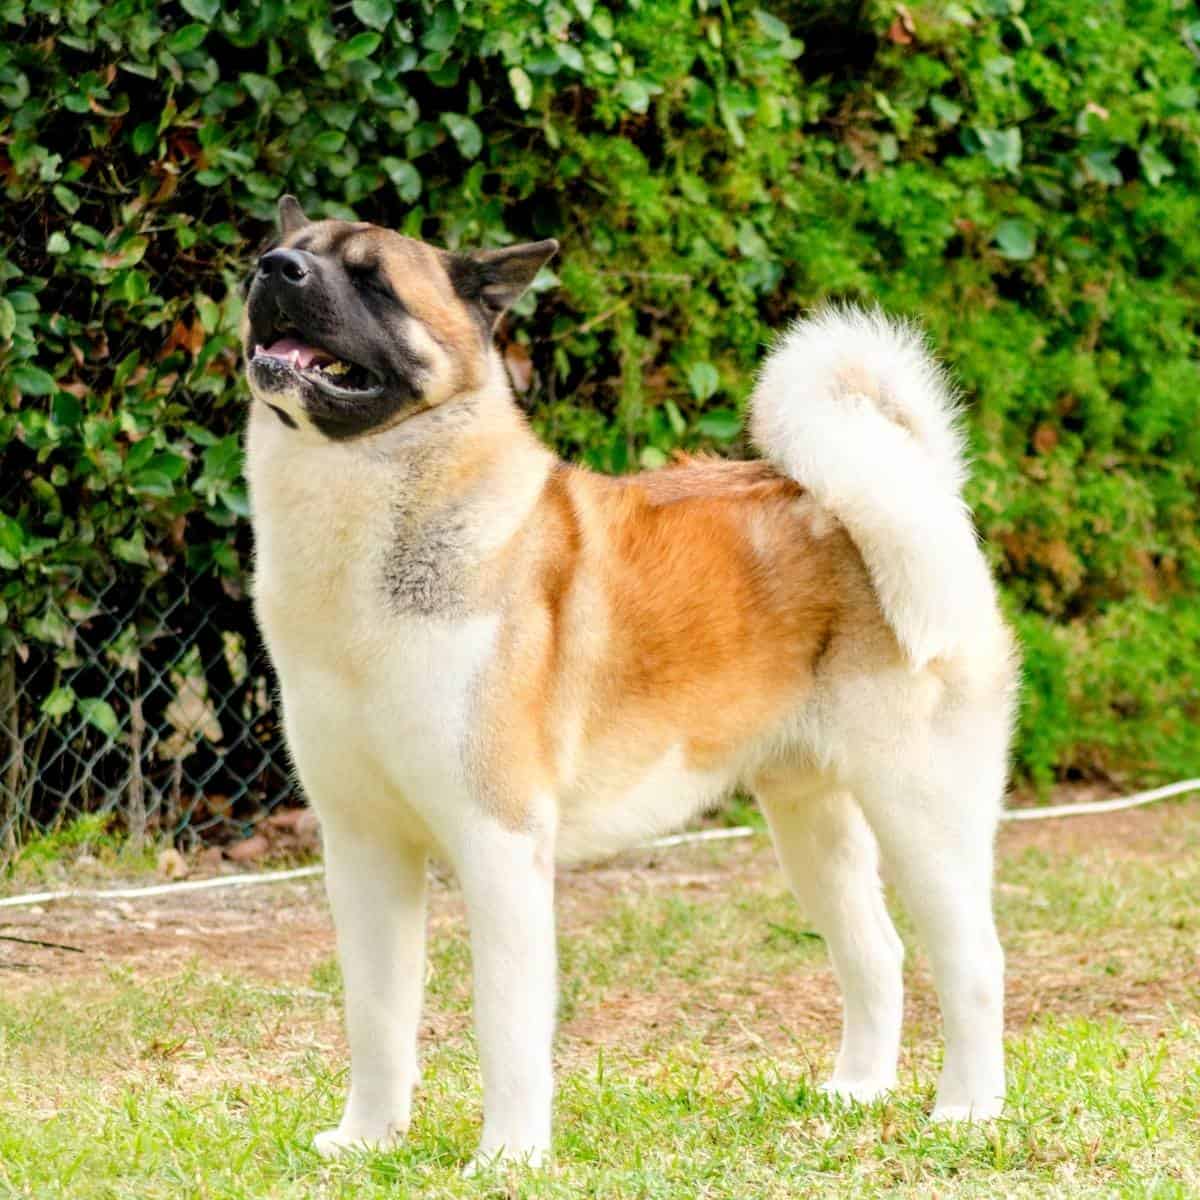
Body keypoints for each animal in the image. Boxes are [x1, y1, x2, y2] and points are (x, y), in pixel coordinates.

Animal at [241, 196, 1012, 1171]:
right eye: (281, 255)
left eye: (374, 281)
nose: (273, 271)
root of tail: (915, 490)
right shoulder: (363, 848)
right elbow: (376, 1016)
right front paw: (367, 1140)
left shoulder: (499, 843)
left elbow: (505, 1025)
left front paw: (508, 1160)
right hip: (811, 821)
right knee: (875, 952)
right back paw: (856, 1092)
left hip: (922, 809)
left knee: (973, 961)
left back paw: (969, 1110)